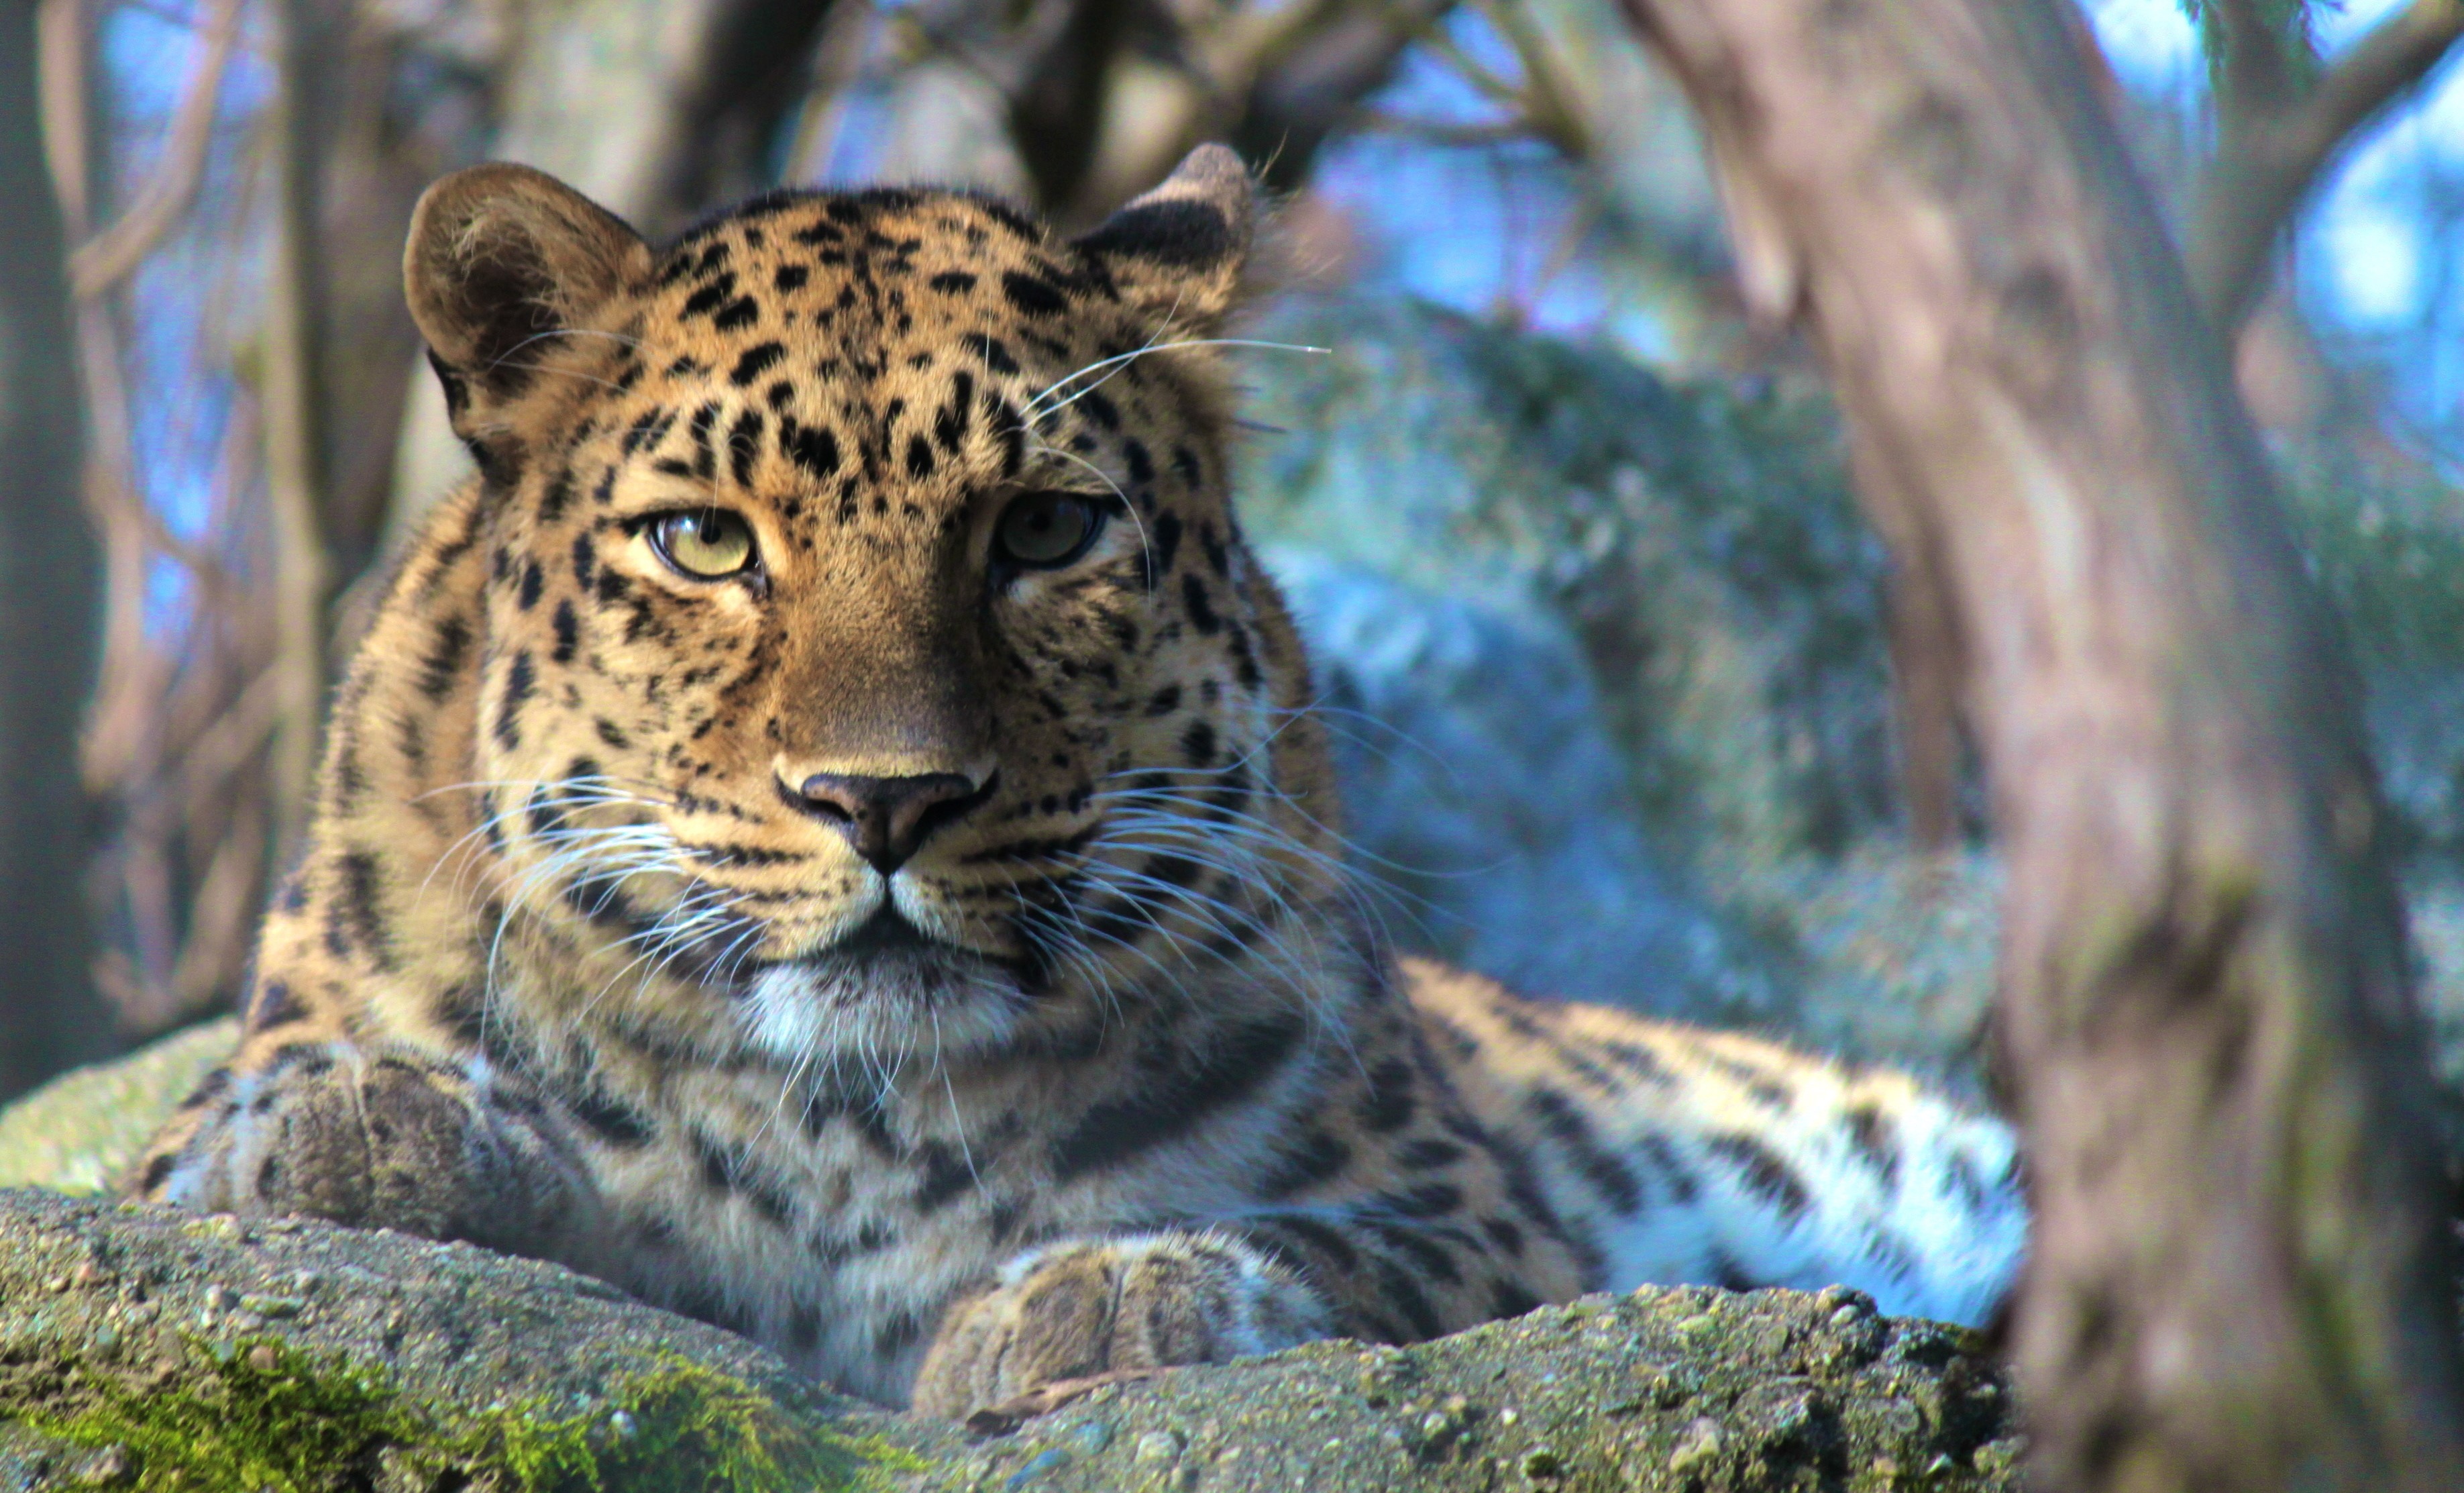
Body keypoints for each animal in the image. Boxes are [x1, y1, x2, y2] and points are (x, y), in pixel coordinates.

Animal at [129, 144, 2027, 1420]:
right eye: (705, 540)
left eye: (1042, 532)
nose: (883, 798)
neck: (846, 1124)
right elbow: (262, 1124)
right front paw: (371, 1117)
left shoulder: (1490, 1210)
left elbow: (1336, 1241)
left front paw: (1106, 1284)